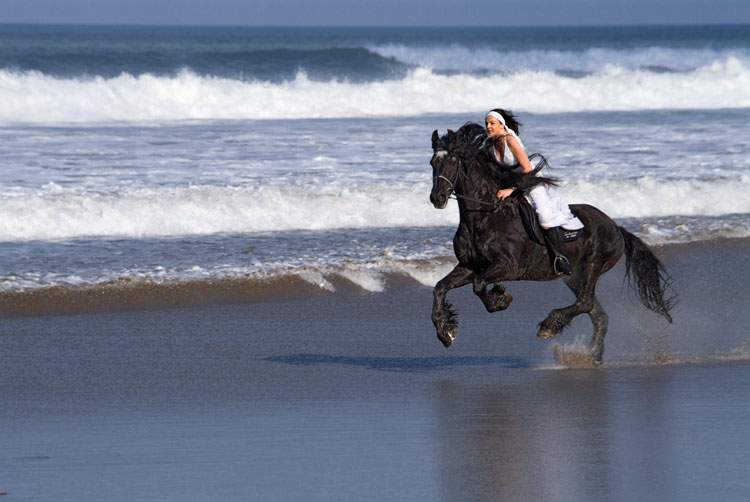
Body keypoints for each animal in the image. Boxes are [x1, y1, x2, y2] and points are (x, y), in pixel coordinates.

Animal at [428, 123, 676, 364]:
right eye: (432, 162)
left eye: (452, 161)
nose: (437, 198)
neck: (485, 216)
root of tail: (616, 227)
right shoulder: (469, 266)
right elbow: (440, 287)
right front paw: (446, 333)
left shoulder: (509, 267)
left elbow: (479, 285)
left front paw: (500, 300)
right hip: (574, 276)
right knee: (597, 314)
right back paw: (591, 356)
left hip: (593, 264)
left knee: (586, 303)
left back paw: (549, 327)